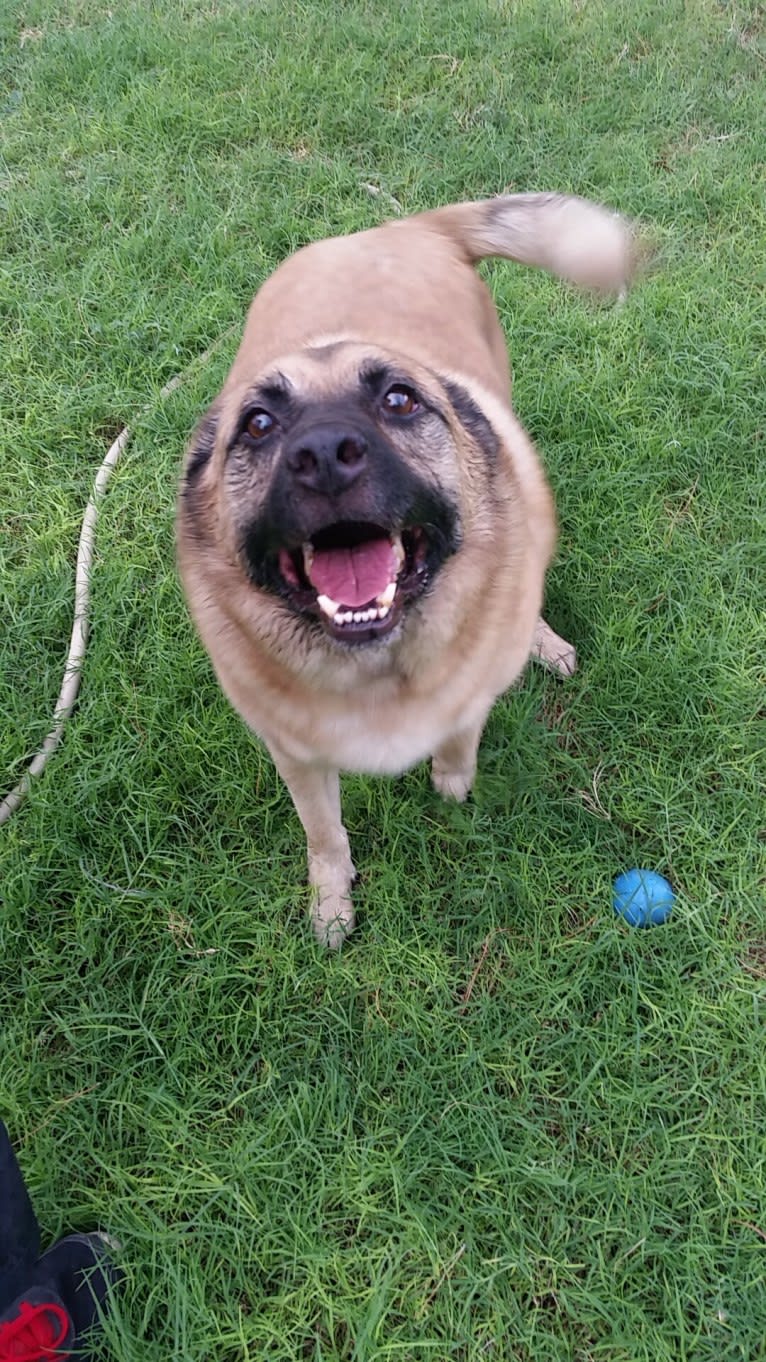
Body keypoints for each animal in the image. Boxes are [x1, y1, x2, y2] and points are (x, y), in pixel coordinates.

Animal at [177, 192, 632, 947]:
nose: (325, 456)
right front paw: (332, 902)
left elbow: (457, 748)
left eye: (398, 400)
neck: (376, 673)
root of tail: (405, 227)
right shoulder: (296, 758)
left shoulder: (467, 703)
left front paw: (452, 787)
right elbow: (324, 834)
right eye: (259, 423)